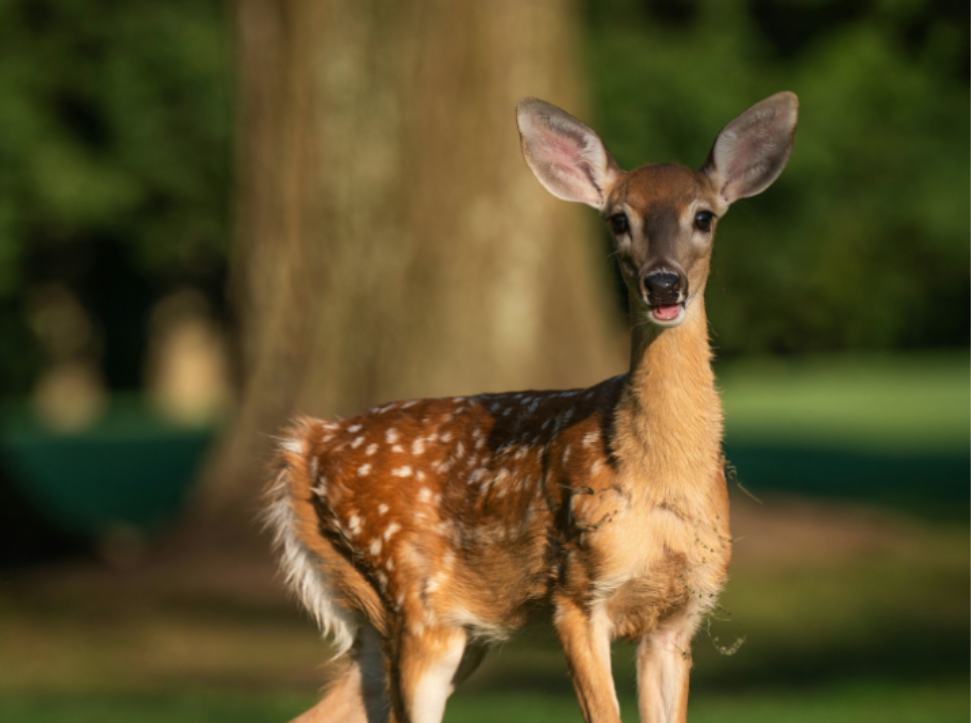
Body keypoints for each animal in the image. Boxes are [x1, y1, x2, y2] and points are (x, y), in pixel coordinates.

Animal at [267, 91, 798, 723]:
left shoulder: (678, 616)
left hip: (425, 623)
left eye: (704, 217)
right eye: (619, 219)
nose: (664, 284)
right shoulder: (575, 592)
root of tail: (305, 445)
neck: (655, 481)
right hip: (411, 597)